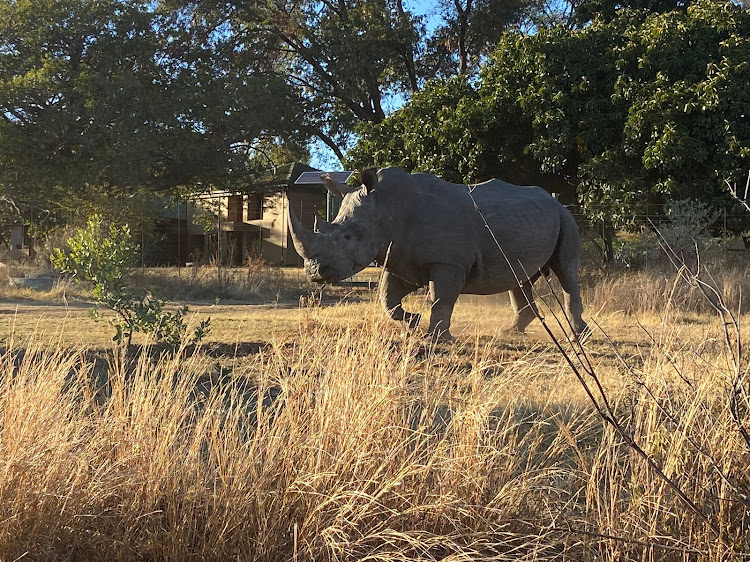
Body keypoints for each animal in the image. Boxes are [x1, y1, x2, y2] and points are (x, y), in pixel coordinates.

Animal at [288, 166, 588, 340]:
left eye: (348, 236)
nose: (314, 272)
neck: (386, 207)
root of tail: (553, 200)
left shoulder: (448, 262)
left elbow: (440, 298)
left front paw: (434, 338)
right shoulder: (402, 257)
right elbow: (387, 298)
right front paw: (412, 322)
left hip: (565, 218)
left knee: (566, 272)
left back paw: (578, 336)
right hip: (532, 221)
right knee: (520, 278)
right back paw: (512, 331)